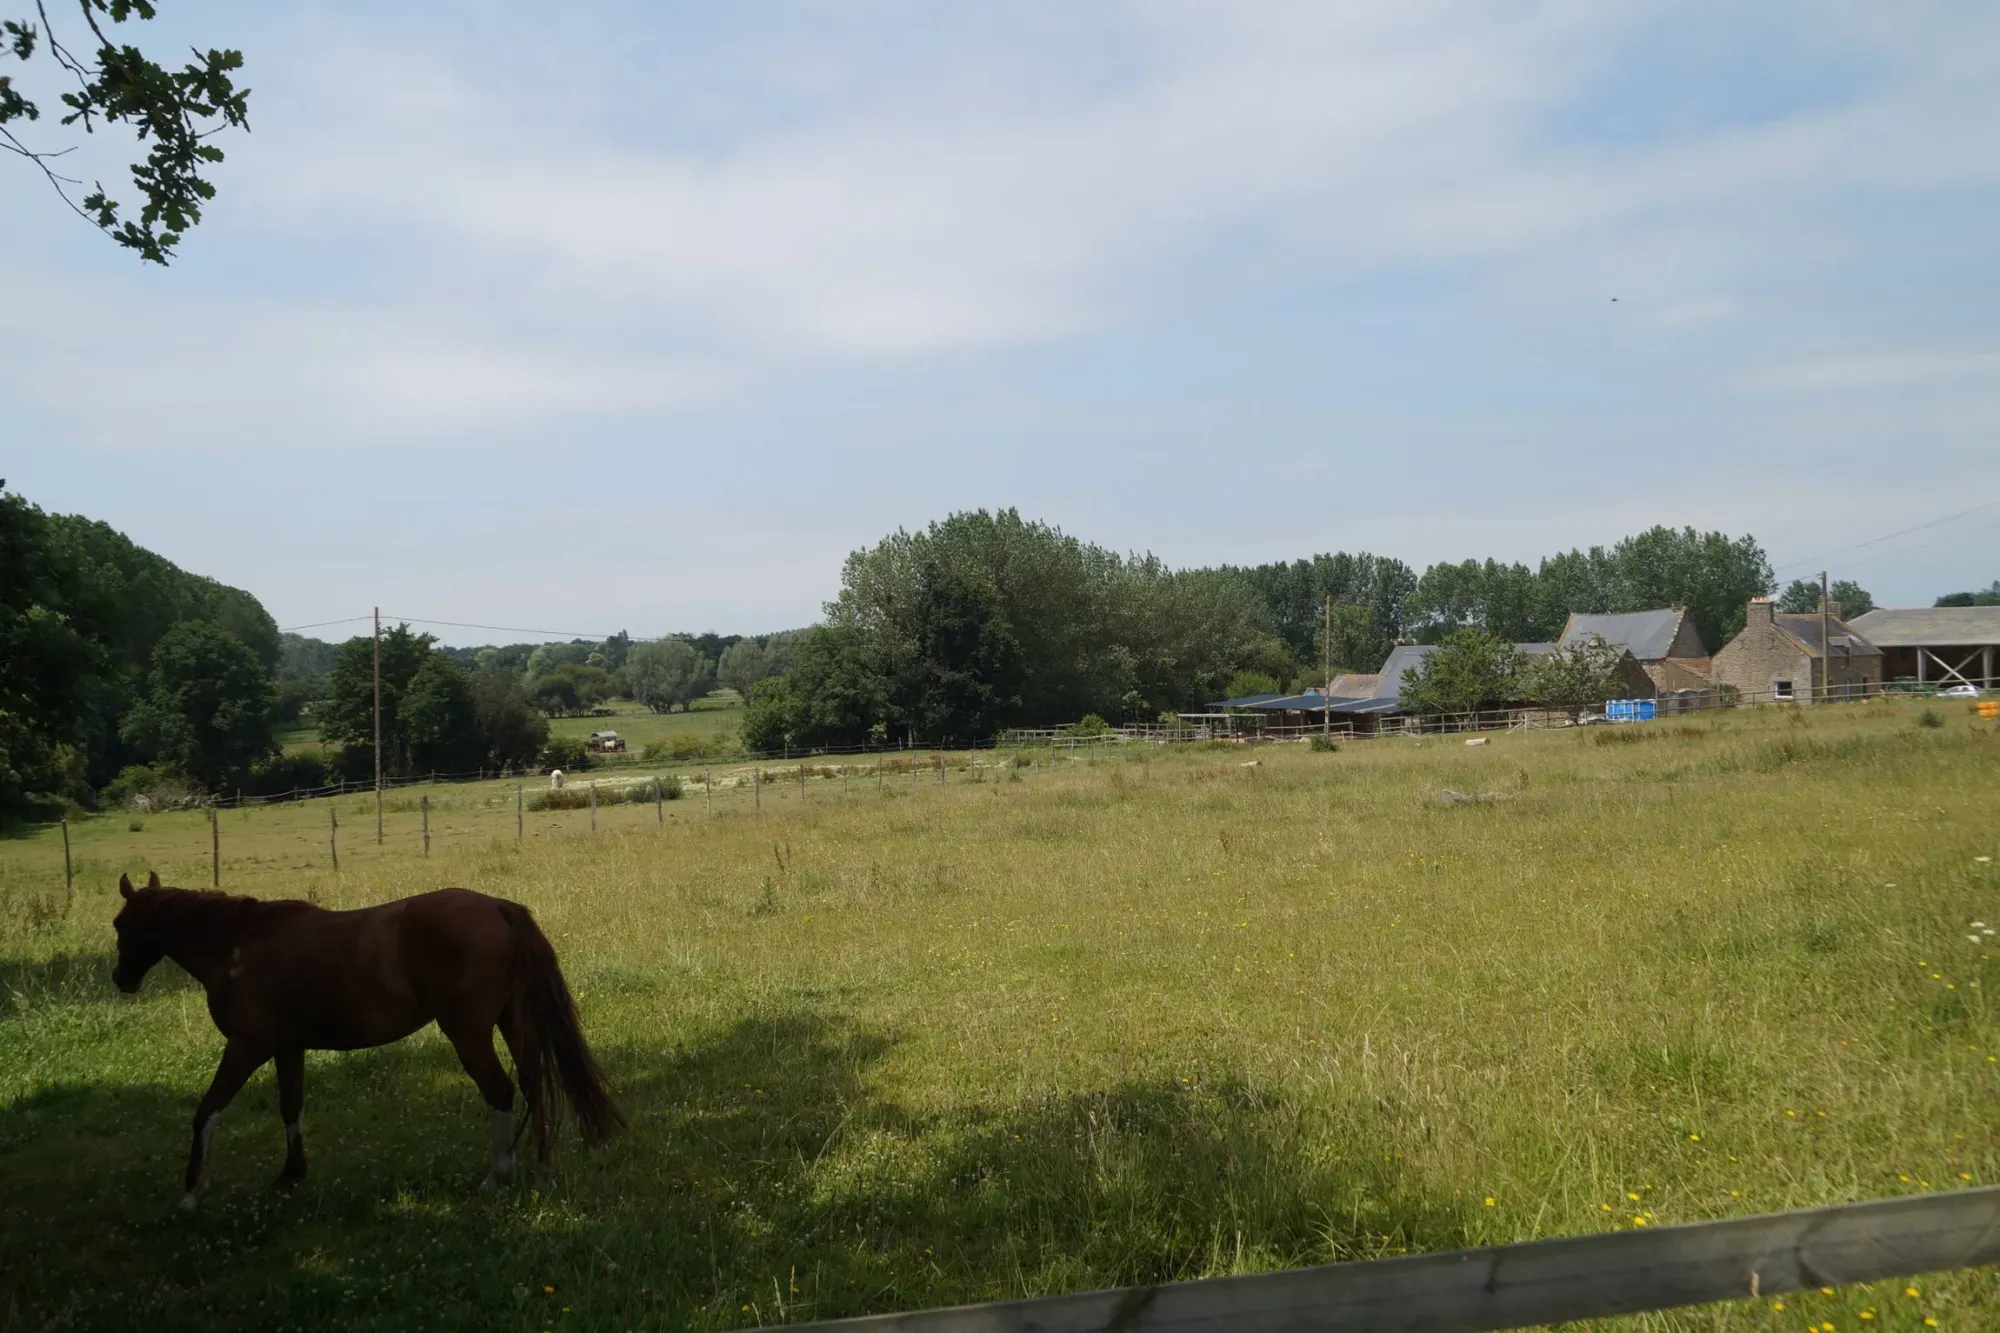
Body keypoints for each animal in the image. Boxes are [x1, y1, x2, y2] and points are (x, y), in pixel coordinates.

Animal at [110, 872, 624, 1209]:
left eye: (119, 925)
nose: (121, 979)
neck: (237, 946)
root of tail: (498, 906)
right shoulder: (287, 1048)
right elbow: (290, 1106)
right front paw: (291, 1175)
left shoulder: (246, 1046)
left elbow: (207, 1111)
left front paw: (192, 1191)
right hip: (512, 1023)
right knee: (536, 1084)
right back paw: (542, 1176)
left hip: (468, 1031)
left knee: (501, 1091)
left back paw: (498, 1177)